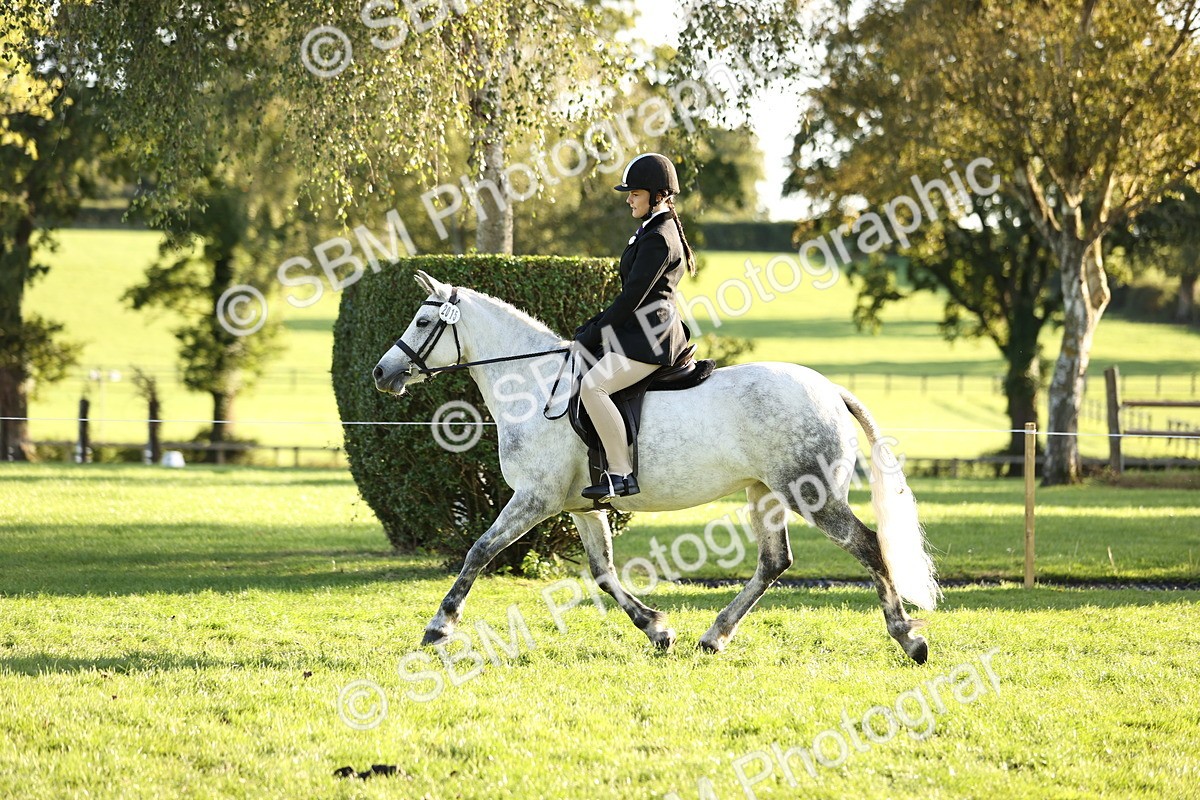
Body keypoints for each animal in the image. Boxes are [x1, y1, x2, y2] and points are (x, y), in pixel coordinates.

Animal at [371, 271, 940, 663]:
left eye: (423, 322)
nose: (382, 373)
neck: (532, 385)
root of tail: (832, 389)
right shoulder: (581, 506)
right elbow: (603, 573)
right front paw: (657, 628)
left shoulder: (535, 498)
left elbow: (478, 552)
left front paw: (439, 627)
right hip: (765, 493)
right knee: (774, 561)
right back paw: (714, 636)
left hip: (811, 492)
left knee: (867, 545)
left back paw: (909, 640)